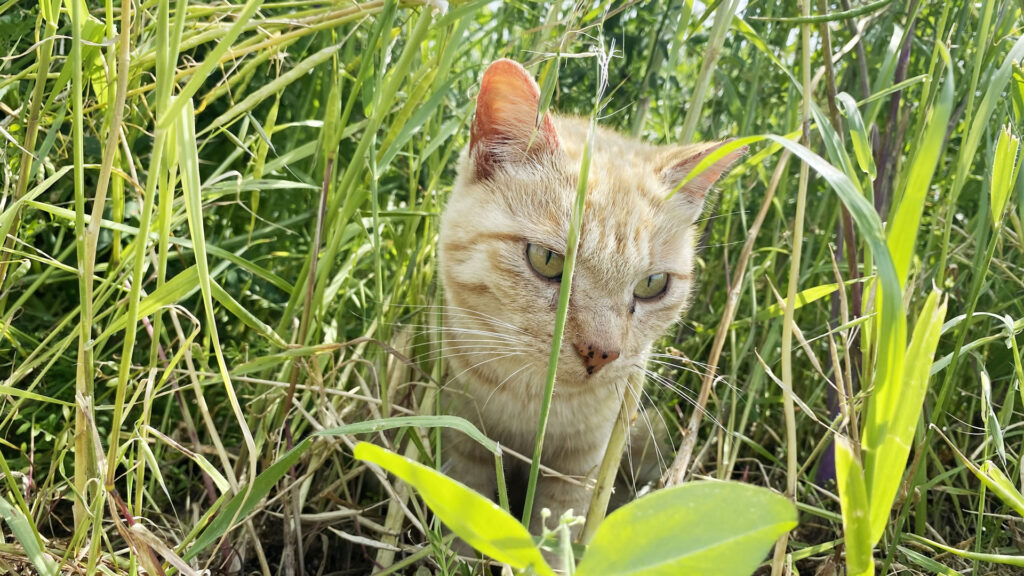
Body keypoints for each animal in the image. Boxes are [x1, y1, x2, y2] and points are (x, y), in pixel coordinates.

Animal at [436, 60, 741, 541]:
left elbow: (557, 532)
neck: (533, 402)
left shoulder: (582, 465)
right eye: (546, 260)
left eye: (652, 284)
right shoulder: (465, 439)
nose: (601, 353)